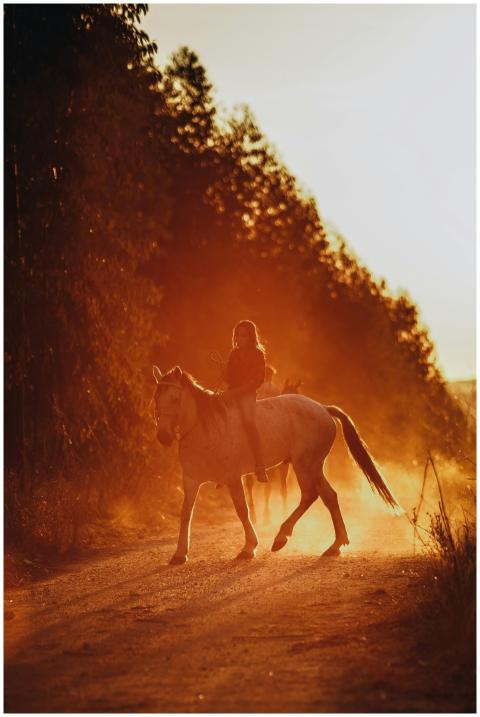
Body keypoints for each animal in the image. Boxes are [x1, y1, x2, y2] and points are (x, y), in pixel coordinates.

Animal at [153, 364, 401, 565]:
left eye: (175, 399)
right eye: (156, 398)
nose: (163, 437)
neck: (204, 427)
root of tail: (322, 408)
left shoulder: (233, 477)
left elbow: (242, 510)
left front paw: (248, 548)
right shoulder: (191, 481)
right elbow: (186, 513)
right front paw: (179, 554)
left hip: (303, 464)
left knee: (309, 495)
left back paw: (282, 536)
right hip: (314, 466)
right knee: (329, 496)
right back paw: (335, 545)